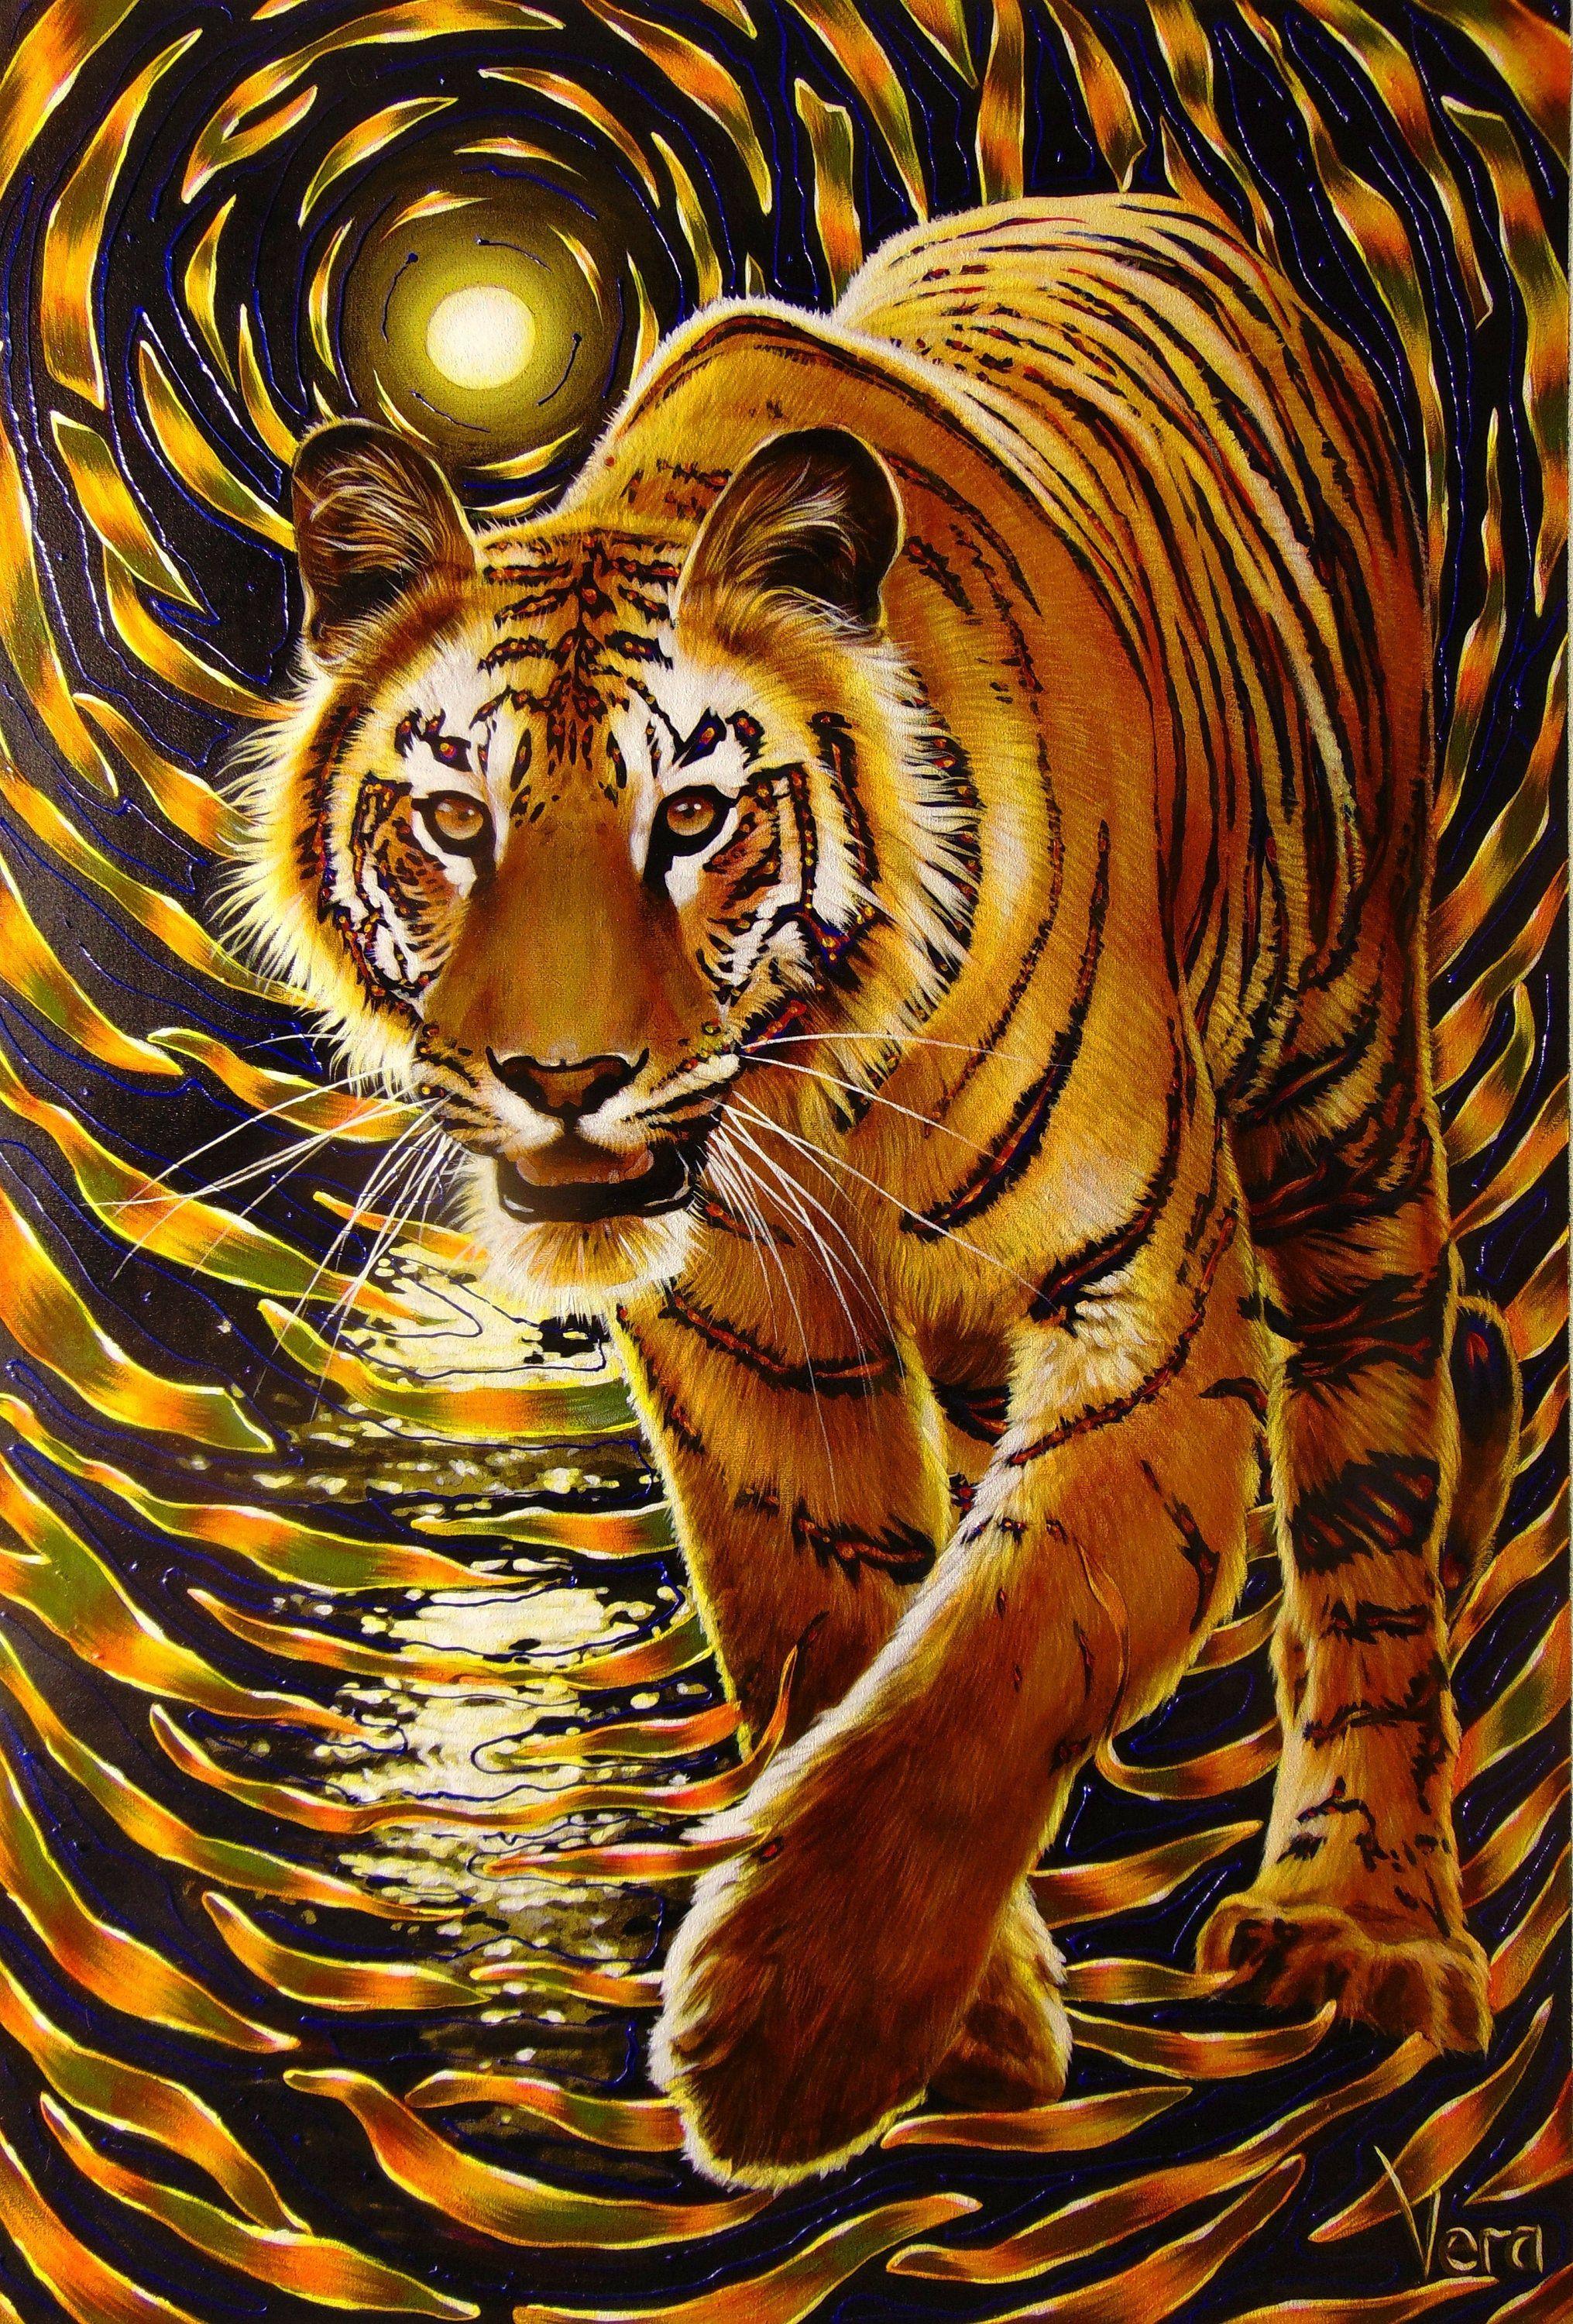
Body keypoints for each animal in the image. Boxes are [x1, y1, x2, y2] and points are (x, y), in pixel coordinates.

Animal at [234, 195, 1522, 2189]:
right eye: (454, 822)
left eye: (693, 819)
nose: (560, 1077)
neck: (820, 1101)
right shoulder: (753, 1345)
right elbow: (838, 1622)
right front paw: (964, 2017)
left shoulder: (1152, 1323)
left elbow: (1004, 1647)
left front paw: (793, 2042)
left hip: (1342, 1077)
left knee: (1368, 1503)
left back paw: (1359, 1928)